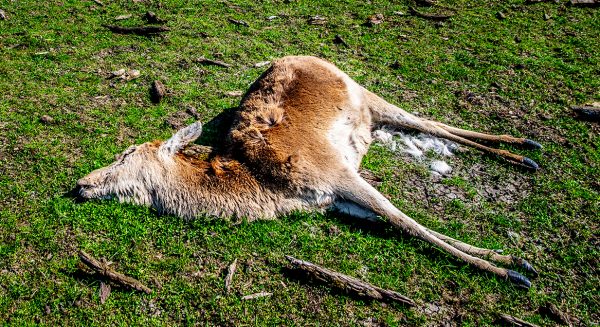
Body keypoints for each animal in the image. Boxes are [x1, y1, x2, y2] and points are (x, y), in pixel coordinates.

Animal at [77, 55, 540, 288]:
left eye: (125, 154)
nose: (81, 183)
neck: (267, 187)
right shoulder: (333, 199)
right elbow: (400, 223)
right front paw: (514, 261)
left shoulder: (337, 171)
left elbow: (404, 218)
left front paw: (514, 270)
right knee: (426, 126)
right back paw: (527, 152)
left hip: (364, 91)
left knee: (429, 123)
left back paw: (527, 148)